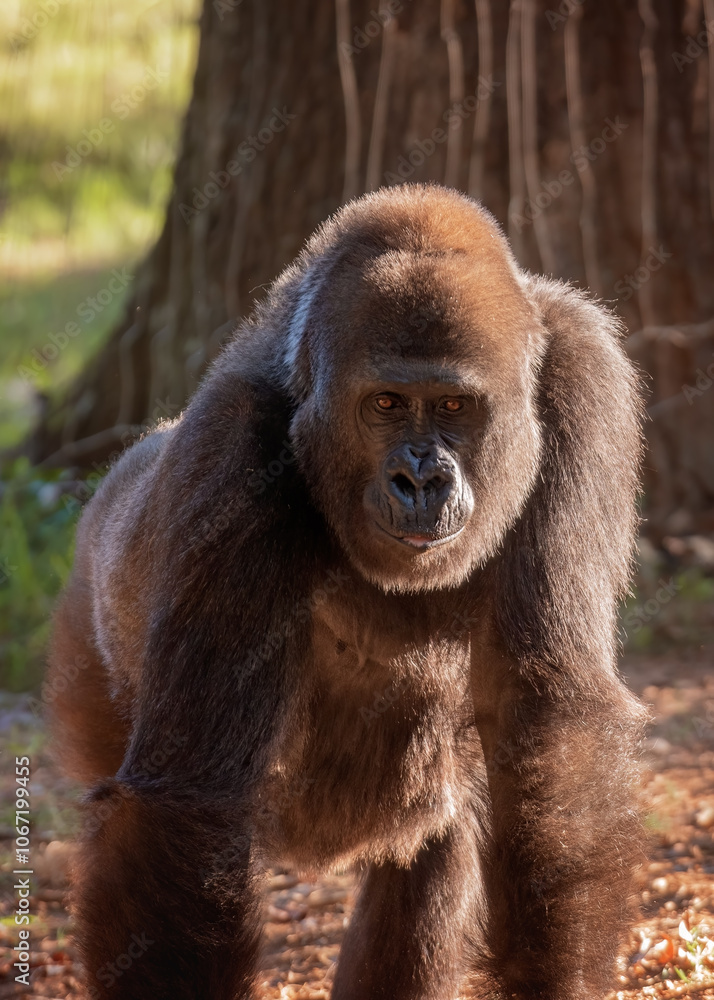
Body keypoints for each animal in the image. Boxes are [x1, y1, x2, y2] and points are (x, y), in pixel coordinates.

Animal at [47, 183, 645, 1000]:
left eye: (453, 408)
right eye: (386, 404)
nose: (419, 480)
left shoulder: (586, 379)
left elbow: (552, 724)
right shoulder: (232, 442)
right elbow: (189, 797)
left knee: (436, 848)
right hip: (87, 645)